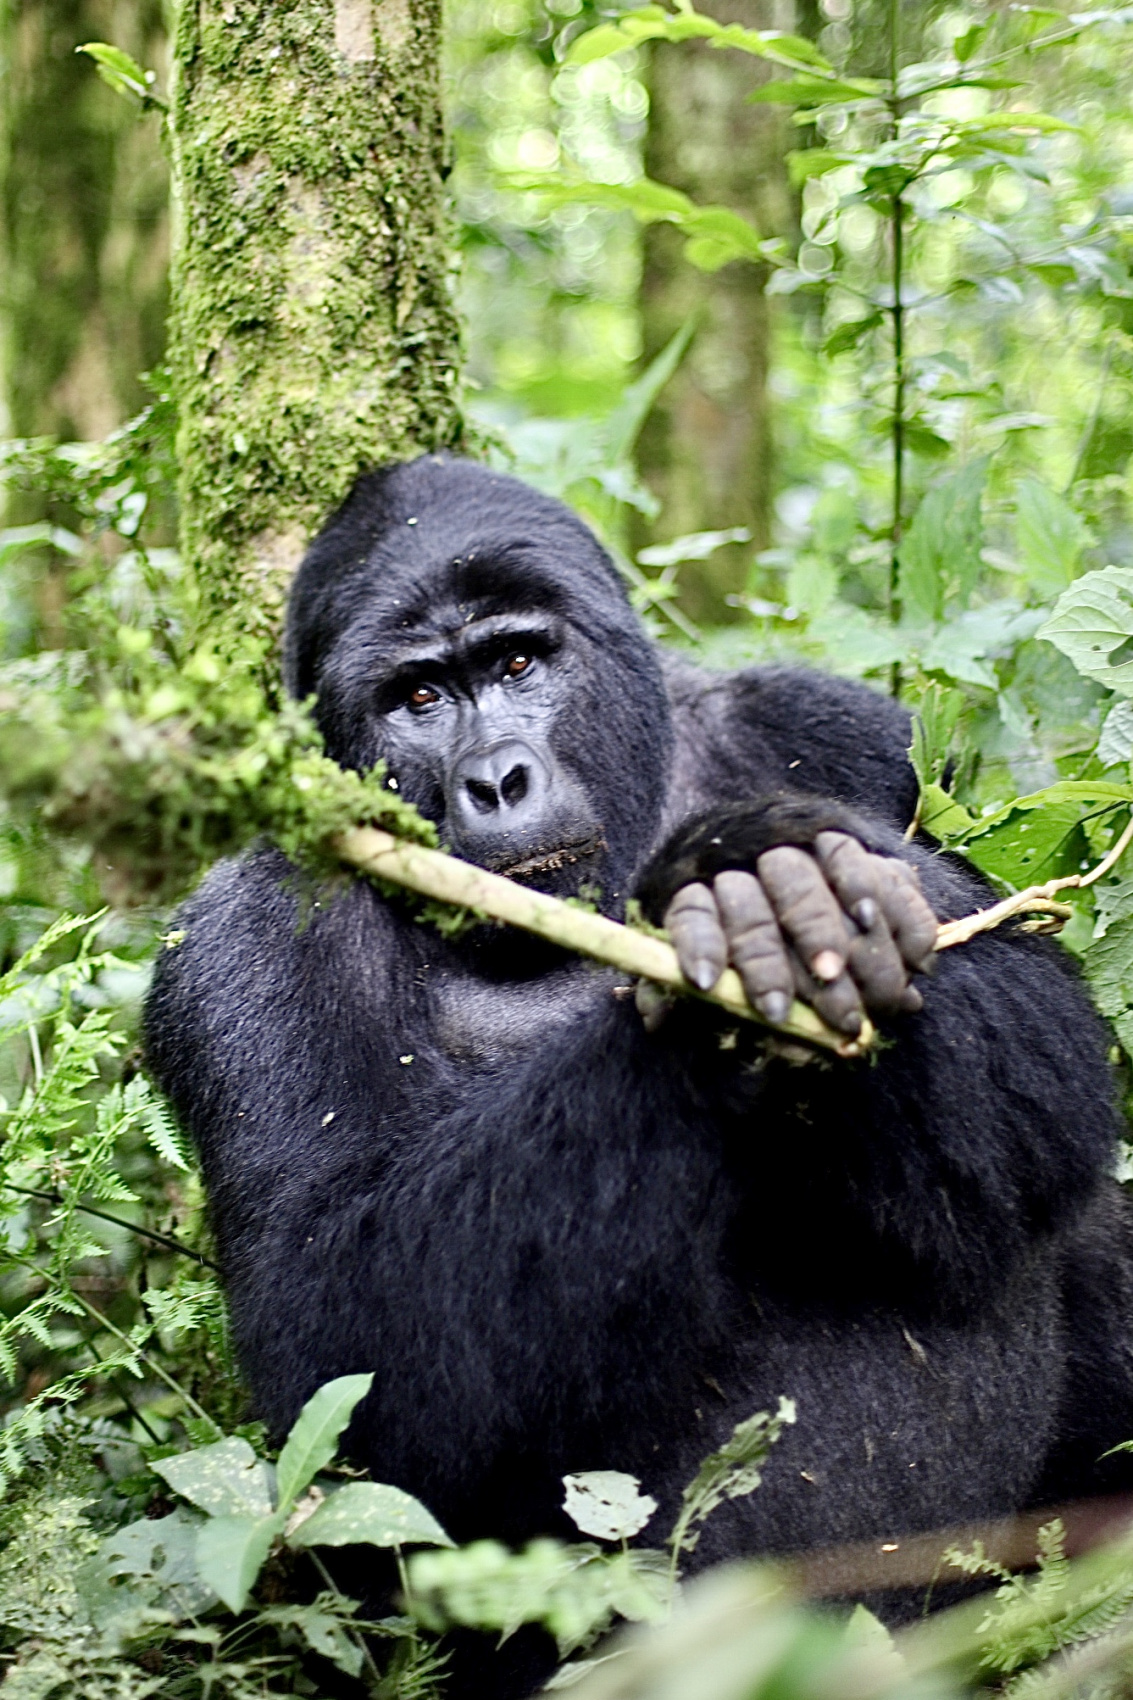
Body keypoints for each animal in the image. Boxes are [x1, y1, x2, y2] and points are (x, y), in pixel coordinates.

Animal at [148, 459, 1129, 1693]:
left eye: (520, 664)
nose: (497, 780)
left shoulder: (849, 729)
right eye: (416, 698)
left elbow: (1040, 1034)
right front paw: (698, 1013)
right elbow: (345, 1349)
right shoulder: (240, 936)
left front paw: (779, 876)